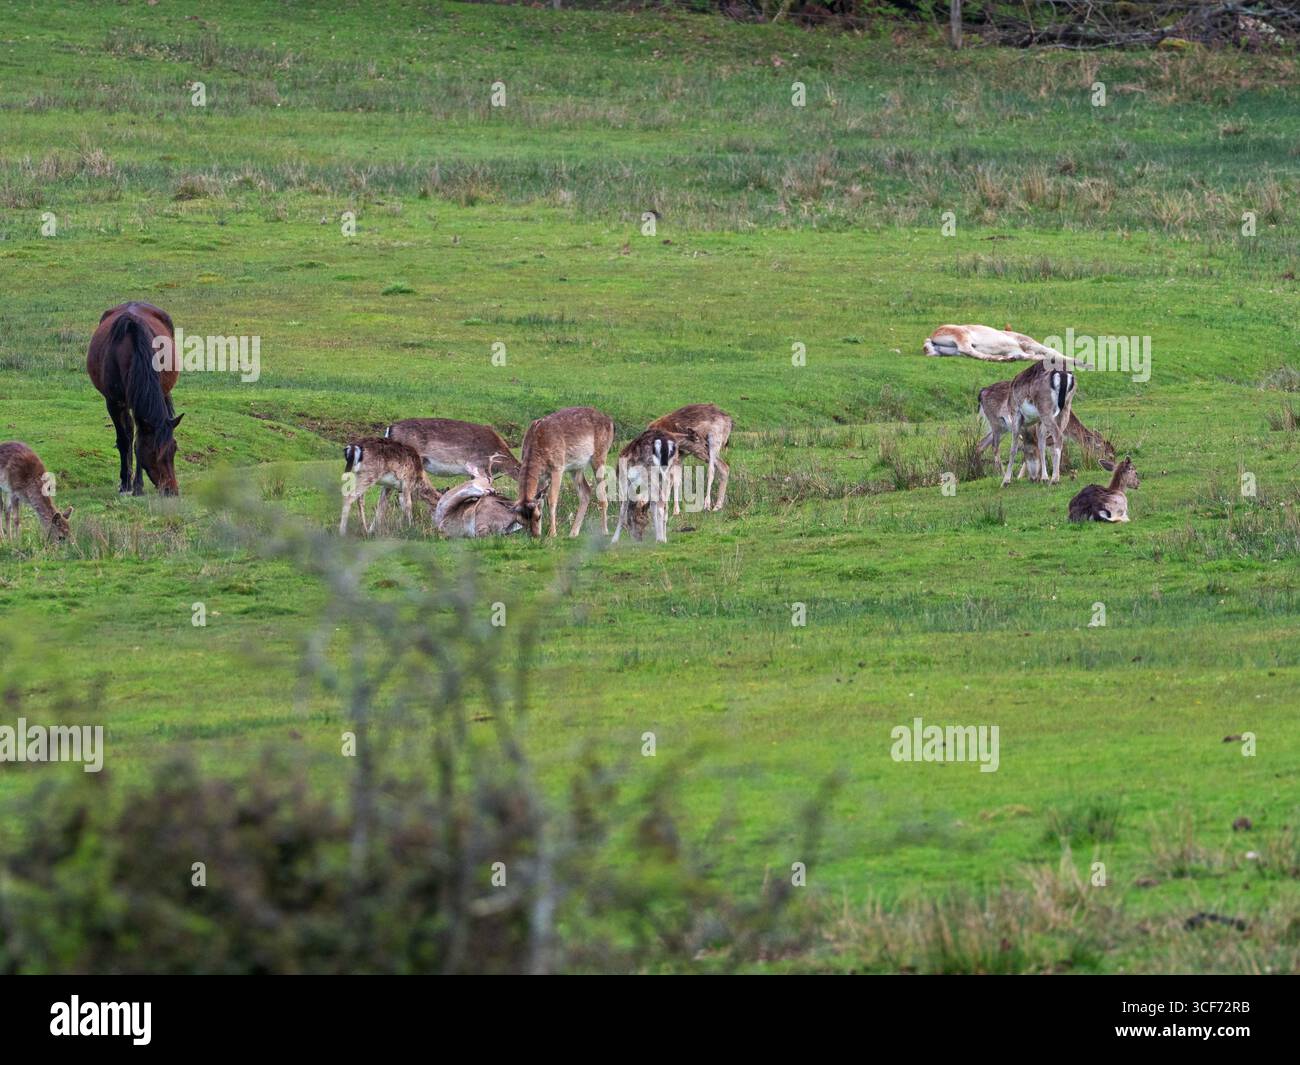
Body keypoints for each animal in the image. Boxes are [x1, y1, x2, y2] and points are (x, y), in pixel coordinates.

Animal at [515, 407, 614, 538]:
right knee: (586, 491)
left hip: (600, 456)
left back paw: (604, 531)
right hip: (576, 468)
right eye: (521, 521)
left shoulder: (557, 467)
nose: (535, 535)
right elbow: (541, 501)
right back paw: (573, 533)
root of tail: (610, 421)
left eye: (538, 516)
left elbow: (552, 499)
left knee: (602, 491)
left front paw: (552, 533)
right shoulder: (542, 477)